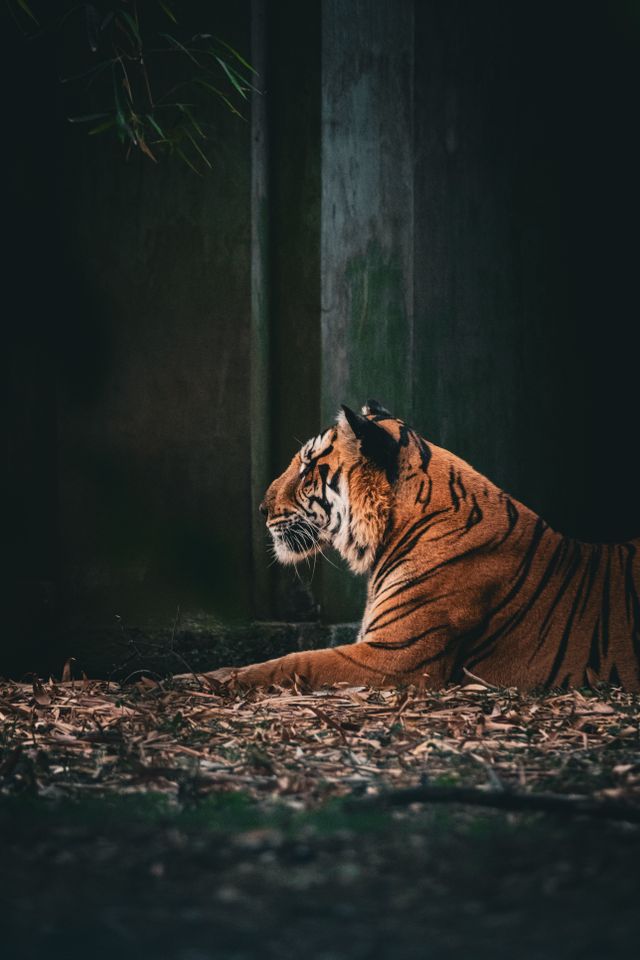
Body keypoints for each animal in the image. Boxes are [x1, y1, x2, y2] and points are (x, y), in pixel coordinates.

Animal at [208, 399, 640, 691]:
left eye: (307, 467)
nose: (262, 509)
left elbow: (295, 662)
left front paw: (215, 680)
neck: (391, 531)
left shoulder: (394, 656)